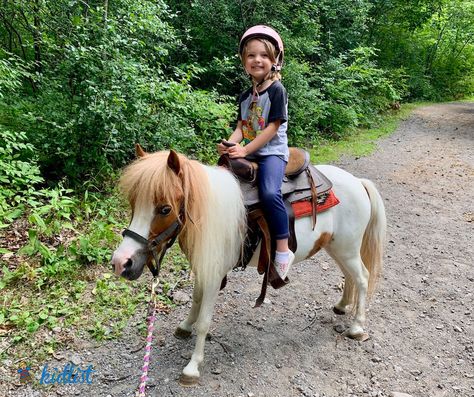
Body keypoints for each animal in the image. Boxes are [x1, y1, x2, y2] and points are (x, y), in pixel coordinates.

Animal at [111, 145, 386, 384]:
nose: (121, 262)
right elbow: (196, 301)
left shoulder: (215, 273)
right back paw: (342, 305)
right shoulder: (204, 266)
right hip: (337, 247)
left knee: (362, 277)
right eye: (133, 203)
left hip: (347, 248)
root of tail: (358, 181)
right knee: (349, 276)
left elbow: (205, 320)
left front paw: (192, 367)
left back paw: (357, 326)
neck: (207, 212)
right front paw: (185, 326)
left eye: (165, 208)